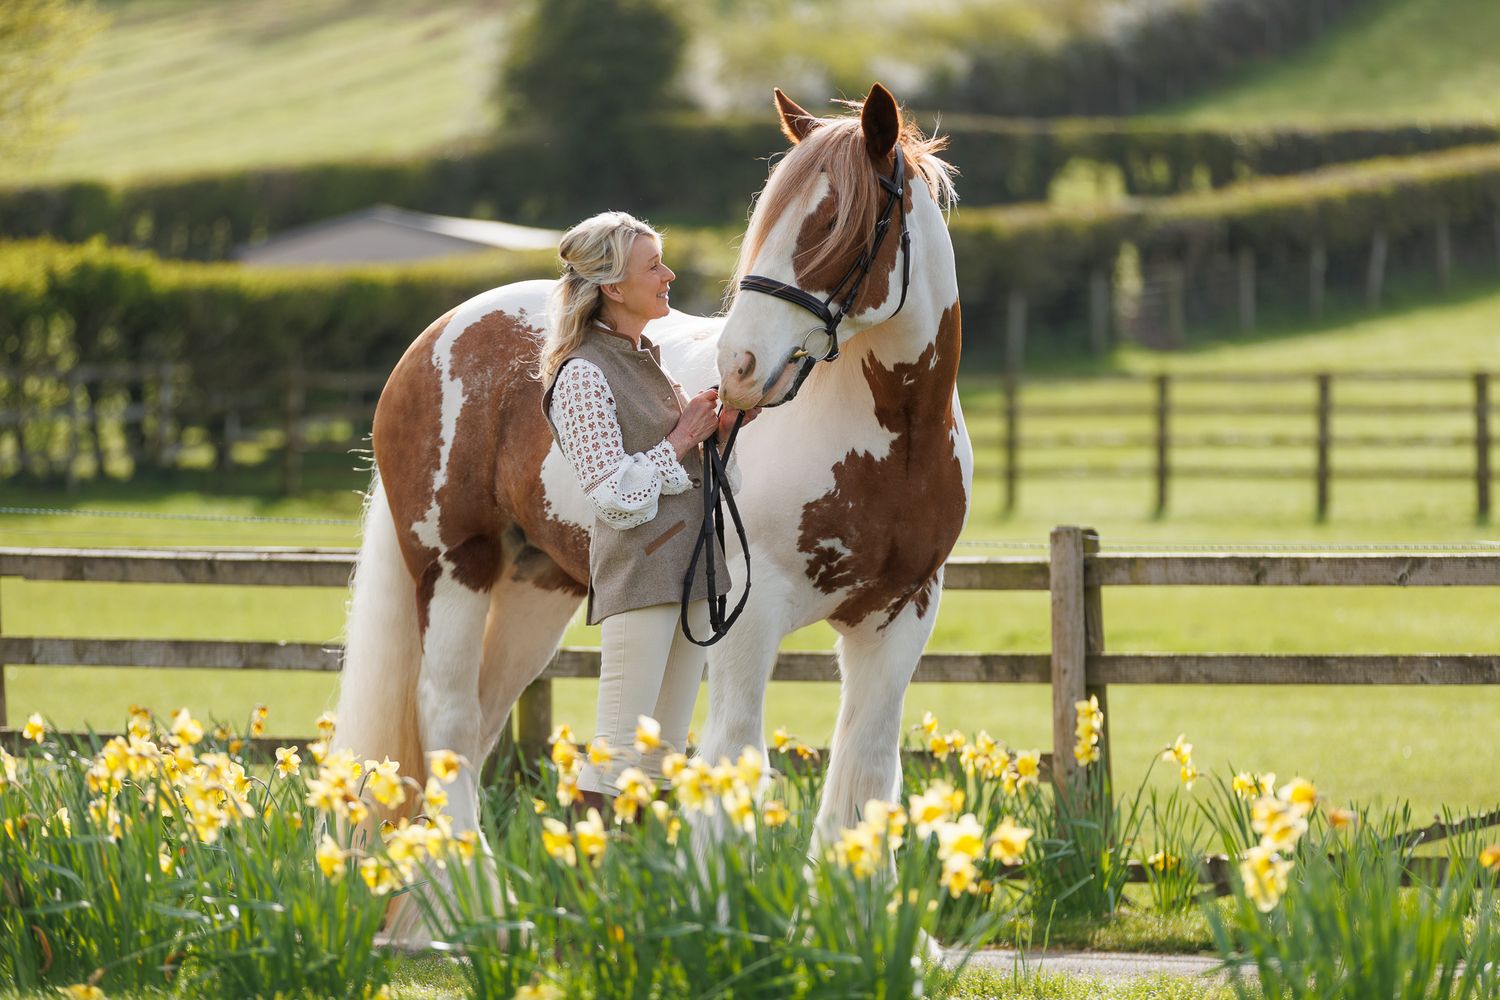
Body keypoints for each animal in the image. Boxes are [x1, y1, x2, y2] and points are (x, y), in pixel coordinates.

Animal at [333, 81, 971, 922]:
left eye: (835, 221)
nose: (739, 366)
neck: (892, 438)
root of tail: (438, 334)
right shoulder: (747, 612)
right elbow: (734, 755)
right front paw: (720, 919)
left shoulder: (902, 612)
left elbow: (866, 771)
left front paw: (859, 924)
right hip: (451, 566)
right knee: (447, 715)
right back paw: (476, 906)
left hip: (536, 588)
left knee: (480, 720)